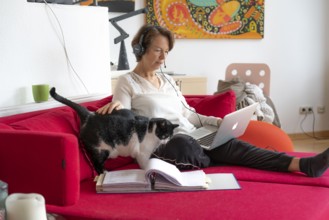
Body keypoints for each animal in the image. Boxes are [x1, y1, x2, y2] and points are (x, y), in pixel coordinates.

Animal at [49, 87, 178, 174]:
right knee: (96, 163)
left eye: (171, 135)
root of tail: (90, 115)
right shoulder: (142, 154)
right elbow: (145, 164)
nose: (167, 141)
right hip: (102, 149)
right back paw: (103, 173)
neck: (150, 131)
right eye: (166, 134)